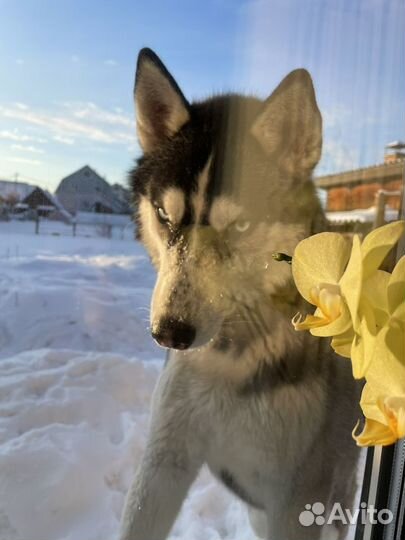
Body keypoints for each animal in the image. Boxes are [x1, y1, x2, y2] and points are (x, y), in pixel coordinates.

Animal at [118, 48, 358, 536]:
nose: (170, 333)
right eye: (164, 215)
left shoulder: (297, 496)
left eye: (241, 226)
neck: (231, 359)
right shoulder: (165, 458)